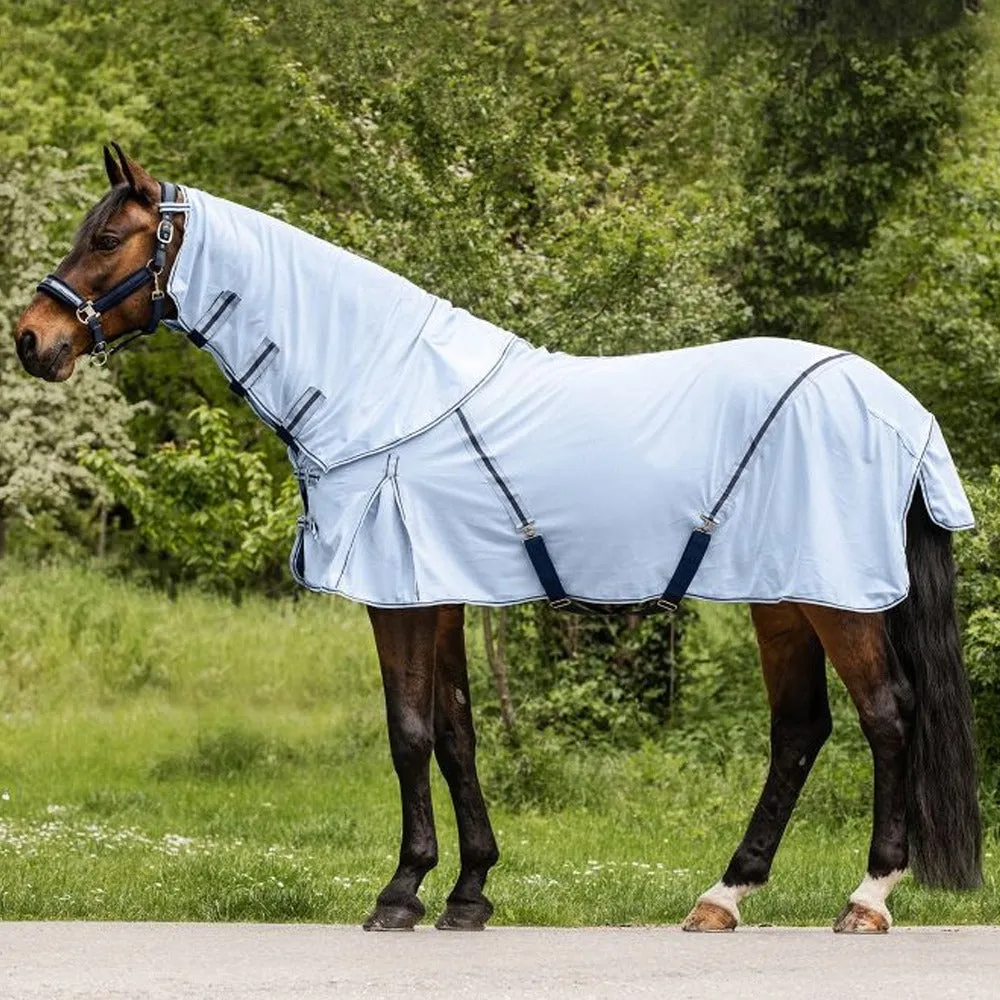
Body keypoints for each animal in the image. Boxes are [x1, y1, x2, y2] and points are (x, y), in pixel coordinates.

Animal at [14, 145, 981, 934]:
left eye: (108, 238)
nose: (32, 339)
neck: (387, 390)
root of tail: (899, 408)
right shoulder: (438, 594)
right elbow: (456, 733)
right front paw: (470, 892)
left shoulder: (400, 598)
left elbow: (408, 732)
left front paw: (401, 893)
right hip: (783, 596)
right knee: (800, 728)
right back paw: (724, 896)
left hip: (837, 599)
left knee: (887, 715)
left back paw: (868, 898)